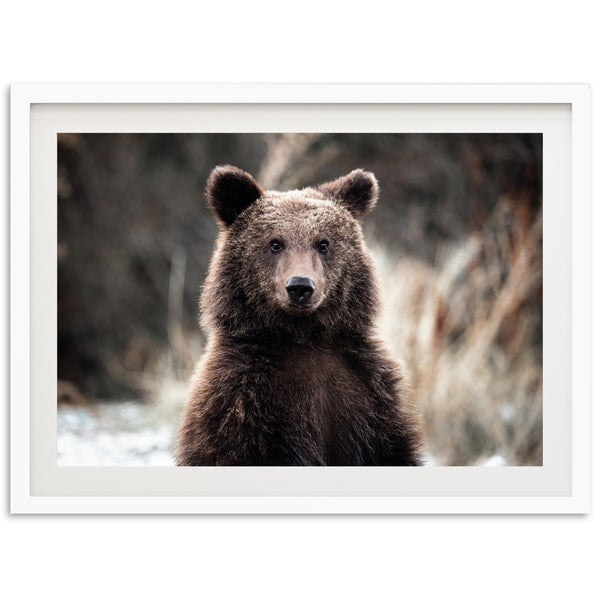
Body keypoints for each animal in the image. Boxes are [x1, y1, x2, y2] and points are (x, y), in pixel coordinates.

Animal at [176, 165, 424, 468]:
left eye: (323, 243)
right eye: (275, 243)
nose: (300, 286)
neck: (304, 337)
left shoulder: (371, 399)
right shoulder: (240, 402)